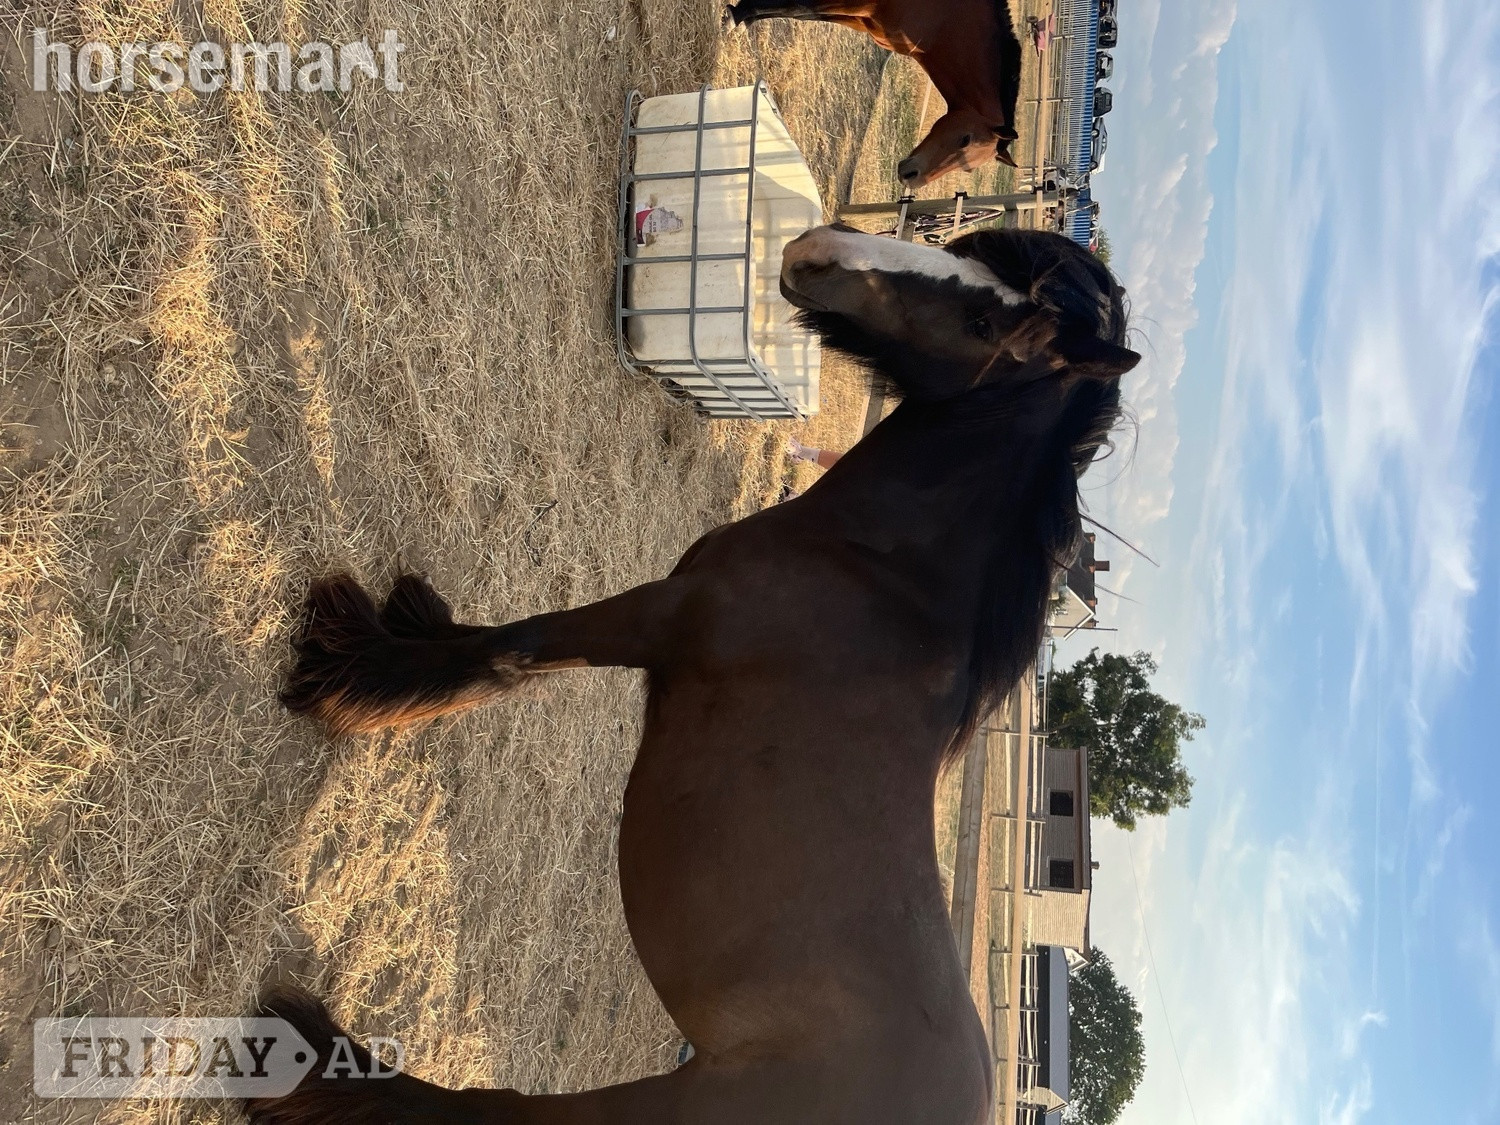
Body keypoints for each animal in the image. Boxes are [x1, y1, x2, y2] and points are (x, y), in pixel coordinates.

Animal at [249, 224, 1138, 1125]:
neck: (883, 577)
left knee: (496, 1109)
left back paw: (314, 1062)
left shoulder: (659, 617)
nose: (822, 249)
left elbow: (508, 653)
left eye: (989, 325)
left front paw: (355, 667)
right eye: (975, 257)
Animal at [725, 0, 1025, 185]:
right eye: (965, 140)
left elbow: (800, 12)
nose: (911, 177)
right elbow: (799, 8)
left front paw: (742, 16)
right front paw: (735, 16)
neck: (944, 20)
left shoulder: (864, 18)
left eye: (970, 167)